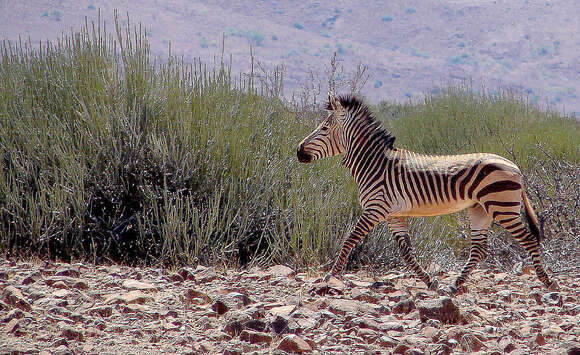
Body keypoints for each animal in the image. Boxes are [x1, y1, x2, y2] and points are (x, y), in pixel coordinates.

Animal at [296, 92, 560, 294]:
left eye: (324, 128)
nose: (299, 151)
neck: (375, 164)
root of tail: (515, 166)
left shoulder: (375, 209)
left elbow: (349, 239)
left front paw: (331, 276)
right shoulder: (394, 215)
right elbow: (406, 252)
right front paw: (430, 282)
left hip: (502, 207)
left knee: (528, 239)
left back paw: (547, 282)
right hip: (480, 210)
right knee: (478, 249)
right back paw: (455, 285)